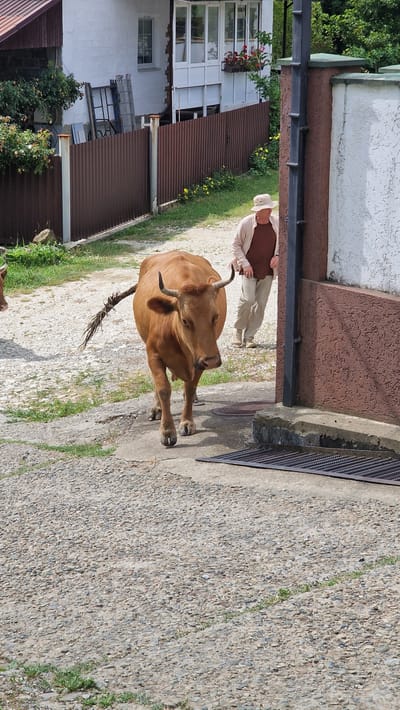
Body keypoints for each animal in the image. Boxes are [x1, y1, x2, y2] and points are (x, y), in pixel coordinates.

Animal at [82, 250, 234, 446]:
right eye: (185, 320)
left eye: (215, 317)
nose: (213, 361)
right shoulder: (154, 355)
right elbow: (163, 388)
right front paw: (167, 431)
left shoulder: (200, 360)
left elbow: (189, 387)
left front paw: (187, 421)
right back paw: (156, 409)